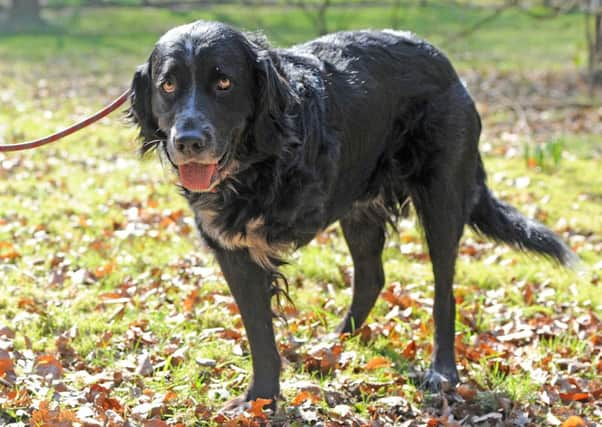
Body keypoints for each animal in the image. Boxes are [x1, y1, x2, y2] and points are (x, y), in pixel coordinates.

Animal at [129, 20, 576, 412]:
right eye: (168, 84)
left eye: (224, 83)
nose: (188, 141)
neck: (255, 160)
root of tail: (446, 65)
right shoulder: (233, 250)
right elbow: (259, 332)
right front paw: (262, 398)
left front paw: (262, 400)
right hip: (360, 211)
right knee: (372, 278)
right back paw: (335, 341)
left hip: (442, 204)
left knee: (443, 293)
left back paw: (442, 371)